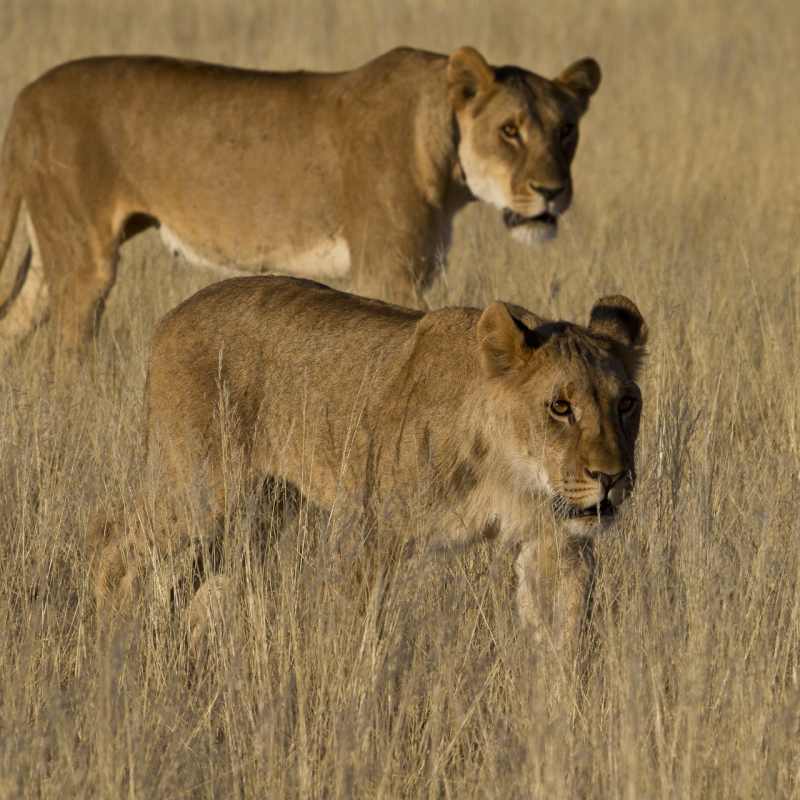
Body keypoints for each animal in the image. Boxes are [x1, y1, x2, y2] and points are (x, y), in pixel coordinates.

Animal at [0, 46, 600, 352]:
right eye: (510, 131)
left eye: (566, 130)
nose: (552, 192)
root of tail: (24, 96)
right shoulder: (387, 272)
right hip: (84, 258)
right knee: (66, 349)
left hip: (49, 250)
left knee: (14, 321)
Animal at [92, 276, 646, 657]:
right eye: (560, 407)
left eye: (625, 404)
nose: (612, 478)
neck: (508, 471)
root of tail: (170, 317)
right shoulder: (369, 530)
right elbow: (359, 635)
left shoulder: (558, 544)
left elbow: (564, 639)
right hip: (199, 489)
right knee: (115, 544)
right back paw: (112, 648)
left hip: (261, 508)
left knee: (196, 580)